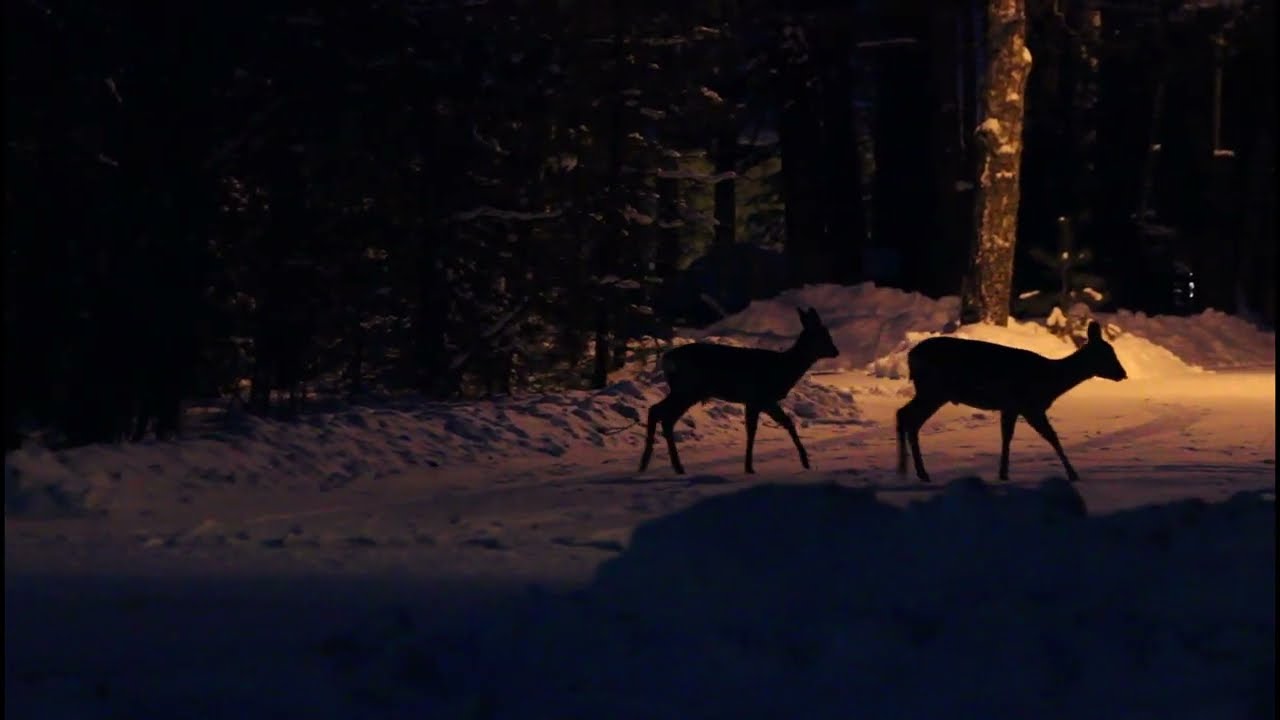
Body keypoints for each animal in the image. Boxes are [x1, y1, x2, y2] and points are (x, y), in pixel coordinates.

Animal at [639, 306, 840, 475]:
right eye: (822, 335)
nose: (836, 351)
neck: (783, 368)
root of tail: (667, 359)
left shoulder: (759, 401)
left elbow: (777, 425)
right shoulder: (760, 397)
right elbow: (758, 430)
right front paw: (753, 467)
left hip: (684, 390)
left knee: (657, 411)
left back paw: (648, 464)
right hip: (688, 388)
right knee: (664, 416)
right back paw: (674, 466)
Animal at [897, 320, 1127, 484]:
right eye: (1106, 354)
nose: (1122, 373)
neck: (1051, 380)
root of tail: (910, 356)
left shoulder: (1010, 407)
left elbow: (1007, 438)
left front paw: (1003, 473)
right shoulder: (1030, 405)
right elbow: (1052, 437)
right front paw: (1073, 474)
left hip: (932, 391)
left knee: (905, 415)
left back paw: (910, 471)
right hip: (933, 389)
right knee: (907, 417)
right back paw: (915, 471)